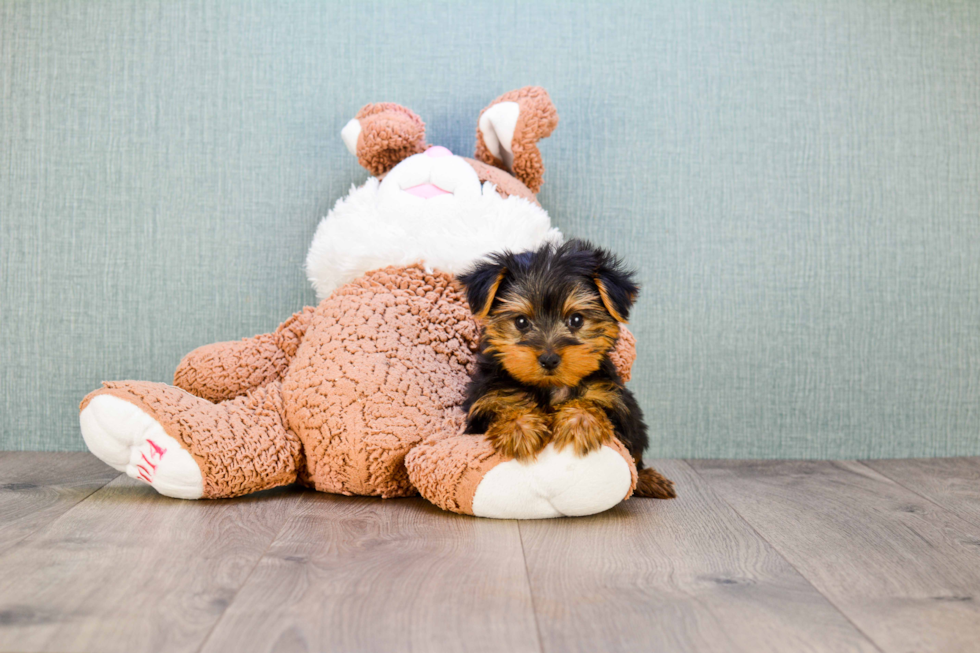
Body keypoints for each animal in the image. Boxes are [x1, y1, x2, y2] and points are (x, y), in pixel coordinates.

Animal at [458, 239, 672, 500]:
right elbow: (506, 406)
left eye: (576, 320)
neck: (550, 387)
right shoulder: (485, 401)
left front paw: (580, 423)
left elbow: (592, 405)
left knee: (636, 456)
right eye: (521, 322)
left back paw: (649, 479)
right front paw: (520, 429)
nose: (549, 359)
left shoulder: (614, 402)